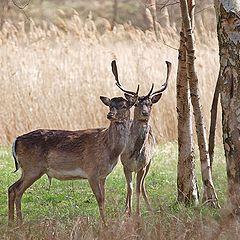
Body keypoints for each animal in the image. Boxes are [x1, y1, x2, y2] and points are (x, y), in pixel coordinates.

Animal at [7, 74, 139, 225]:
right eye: (110, 105)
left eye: (124, 106)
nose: (110, 115)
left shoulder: (102, 175)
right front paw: (105, 225)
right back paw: (16, 222)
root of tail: (17, 140)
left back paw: (14, 222)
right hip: (32, 168)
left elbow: (104, 199)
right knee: (16, 190)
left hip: (28, 170)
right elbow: (100, 199)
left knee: (12, 189)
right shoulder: (91, 171)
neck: (109, 149)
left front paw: (104, 223)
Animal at [111, 60, 172, 216]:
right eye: (137, 104)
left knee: (143, 184)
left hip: (150, 161)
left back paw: (150, 207)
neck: (134, 153)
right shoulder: (125, 165)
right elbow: (130, 189)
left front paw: (137, 213)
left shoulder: (143, 165)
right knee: (131, 186)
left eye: (150, 104)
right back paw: (126, 207)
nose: (145, 113)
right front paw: (128, 212)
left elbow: (138, 189)